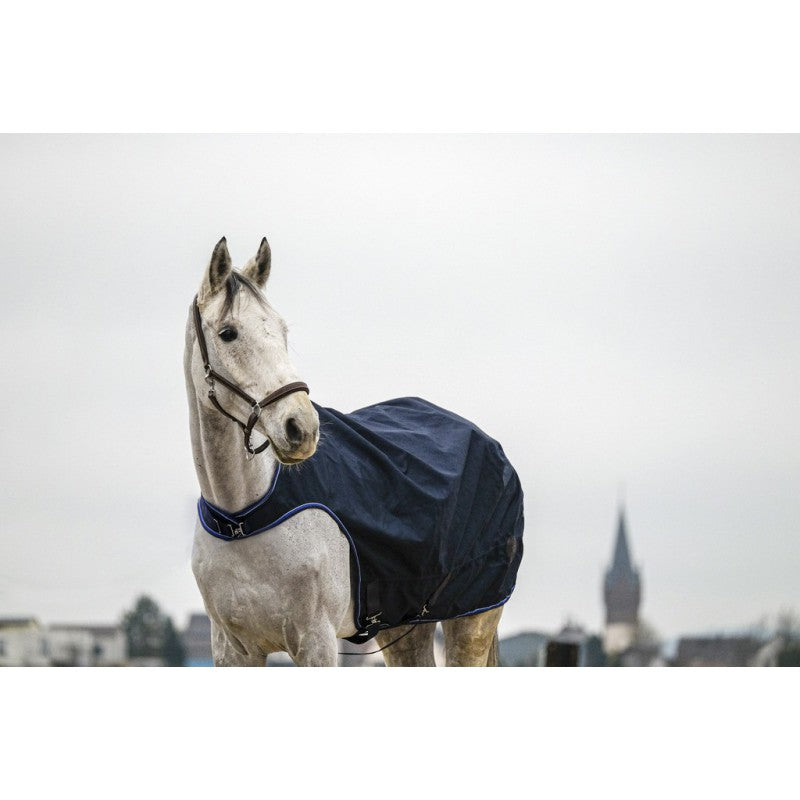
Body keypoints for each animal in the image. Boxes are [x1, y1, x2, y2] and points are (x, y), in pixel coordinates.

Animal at [185, 237, 522, 666]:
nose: (302, 428)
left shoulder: (317, 642)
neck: (242, 517)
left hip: (473, 622)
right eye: (228, 333)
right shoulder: (232, 649)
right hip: (405, 626)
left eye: (281, 329)